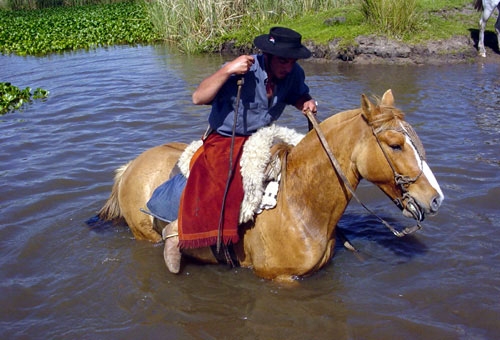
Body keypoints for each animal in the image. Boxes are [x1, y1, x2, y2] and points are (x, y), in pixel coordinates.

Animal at [98, 90, 446, 282]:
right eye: (395, 145)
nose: (435, 199)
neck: (300, 204)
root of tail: (130, 167)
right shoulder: (281, 278)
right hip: (144, 235)